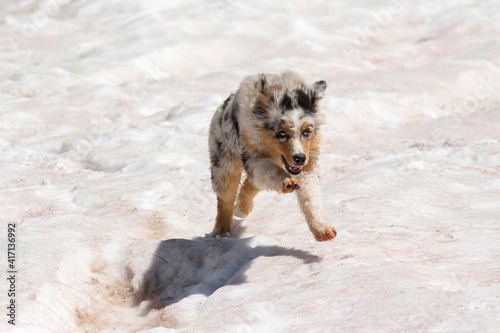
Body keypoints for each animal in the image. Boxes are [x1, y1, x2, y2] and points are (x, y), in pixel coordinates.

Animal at [207, 70, 336, 241]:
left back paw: (242, 208)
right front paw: (287, 182)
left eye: (306, 132)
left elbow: (311, 197)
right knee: (226, 197)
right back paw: (222, 233)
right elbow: (270, 172)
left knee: (252, 183)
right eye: (281, 133)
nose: (299, 158)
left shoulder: (308, 163)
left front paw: (323, 229)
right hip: (224, 161)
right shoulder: (254, 156)